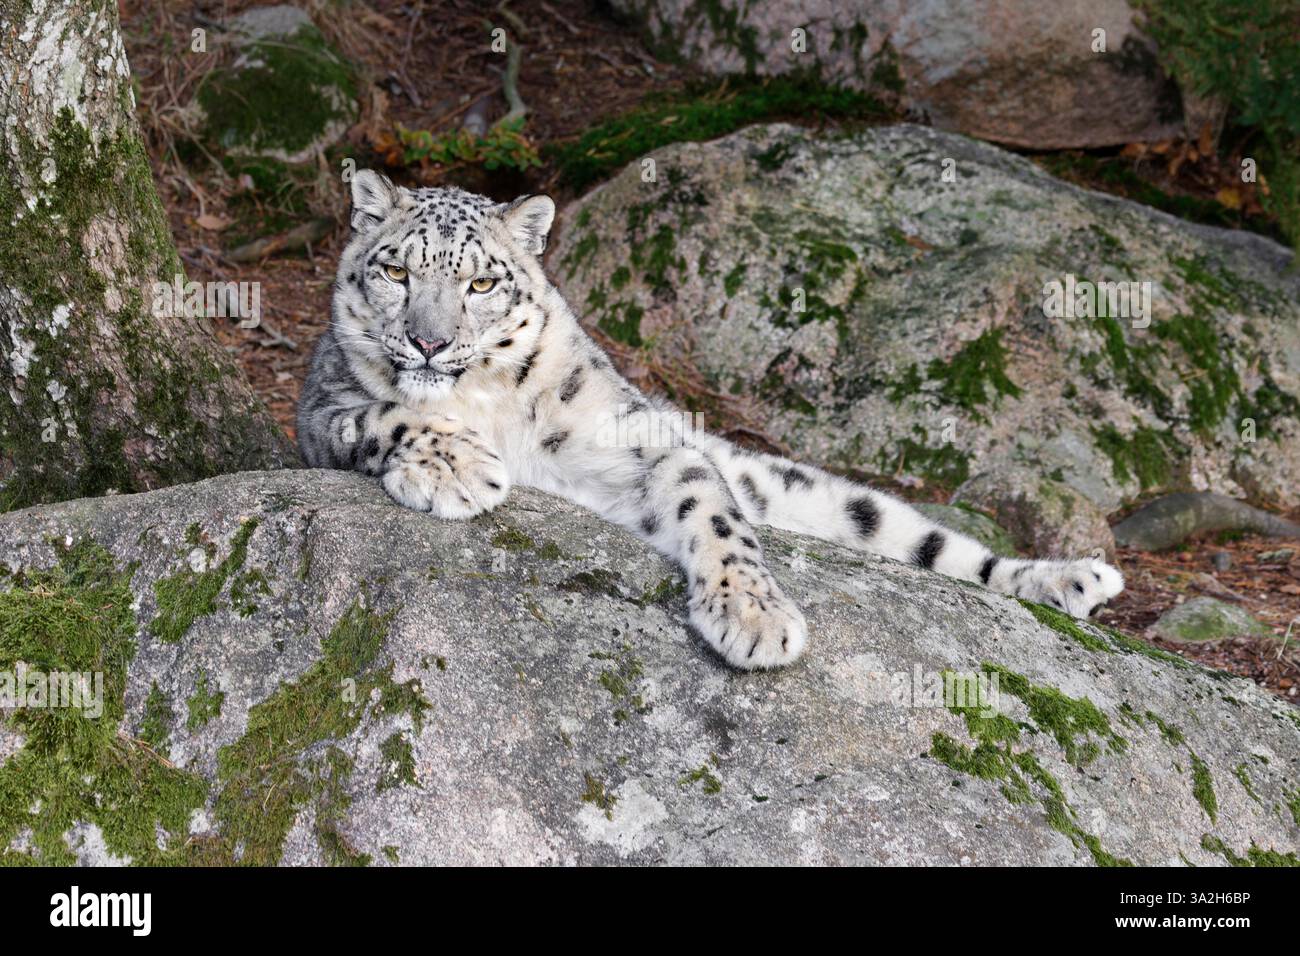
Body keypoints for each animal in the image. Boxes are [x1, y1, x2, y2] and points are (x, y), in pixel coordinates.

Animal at [297, 170, 1124, 669]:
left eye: (479, 283)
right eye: (396, 270)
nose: (428, 342)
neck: (482, 403)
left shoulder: (640, 443)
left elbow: (715, 513)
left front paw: (754, 617)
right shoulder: (320, 413)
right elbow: (383, 413)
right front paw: (458, 466)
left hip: (810, 488)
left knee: (930, 543)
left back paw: (1069, 579)